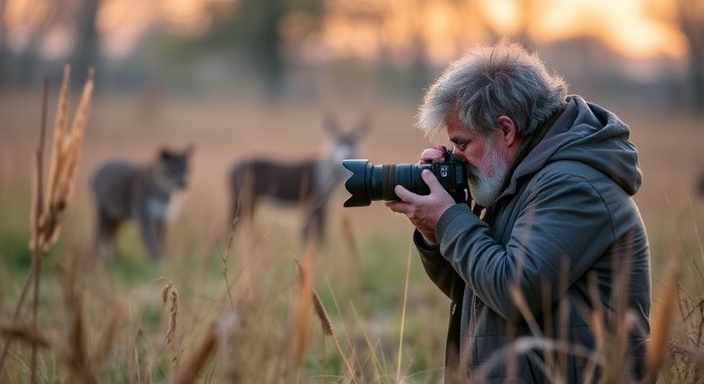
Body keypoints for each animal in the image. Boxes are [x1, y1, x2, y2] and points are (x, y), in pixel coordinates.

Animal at [228, 115, 372, 244]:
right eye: (336, 140)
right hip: (241, 198)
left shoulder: (322, 205)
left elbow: (319, 235)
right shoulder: (310, 202)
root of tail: (230, 170)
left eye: (353, 142)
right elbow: (311, 236)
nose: (347, 154)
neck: (324, 175)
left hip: (251, 200)